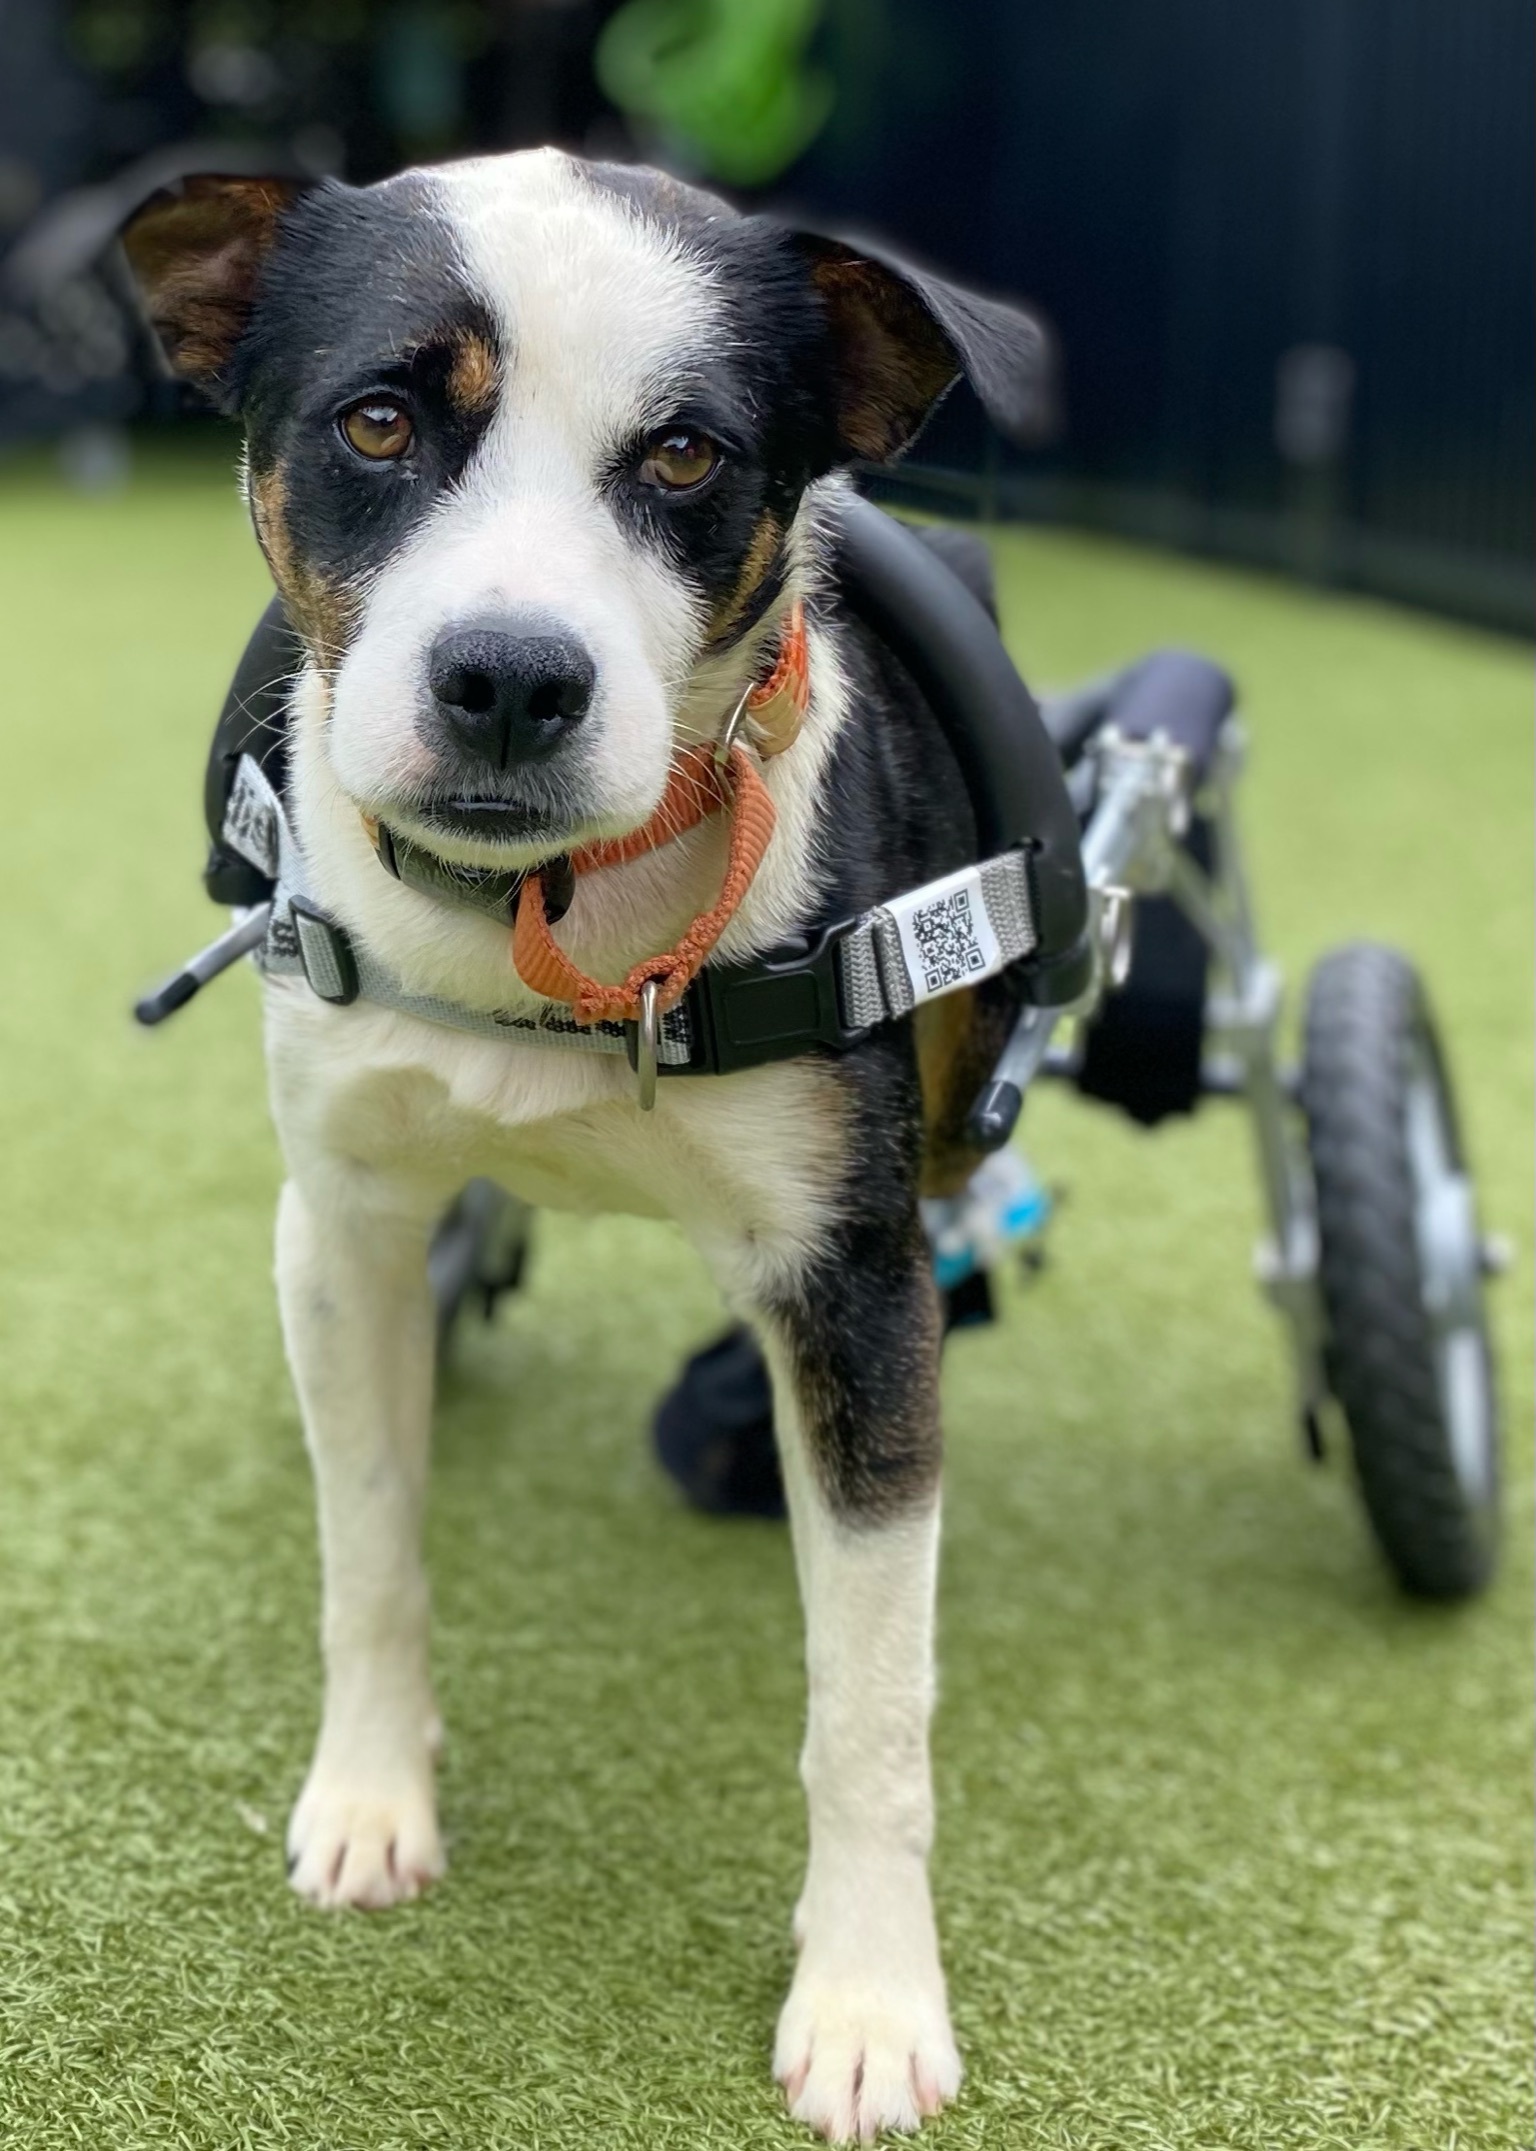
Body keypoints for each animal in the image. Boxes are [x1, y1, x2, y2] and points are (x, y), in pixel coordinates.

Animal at [125, 147, 1045, 2133]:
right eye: (379, 419)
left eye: (687, 455)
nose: (507, 678)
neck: (550, 921)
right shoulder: (345, 1221)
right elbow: (370, 1545)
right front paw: (372, 1801)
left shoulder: (853, 1287)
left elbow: (871, 1703)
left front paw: (870, 2000)